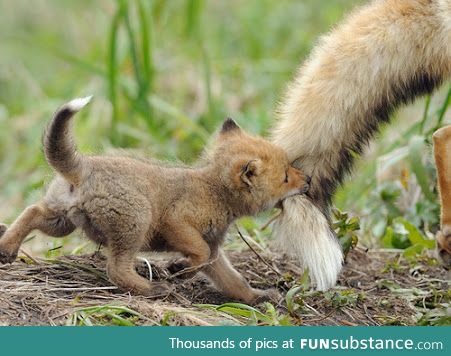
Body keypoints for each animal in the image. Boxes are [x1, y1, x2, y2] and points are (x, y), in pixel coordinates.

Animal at [0, 96, 310, 304]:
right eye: (285, 177)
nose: (308, 179)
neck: (213, 190)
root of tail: (85, 166)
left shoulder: (214, 251)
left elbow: (233, 282)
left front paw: (258, 296)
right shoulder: (177, 223)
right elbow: (197, 253)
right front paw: (178, 270)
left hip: (61, 220)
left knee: (31, 211)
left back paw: (7, 248)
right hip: (136, 221)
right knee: (116, 269)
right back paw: (152, 290)